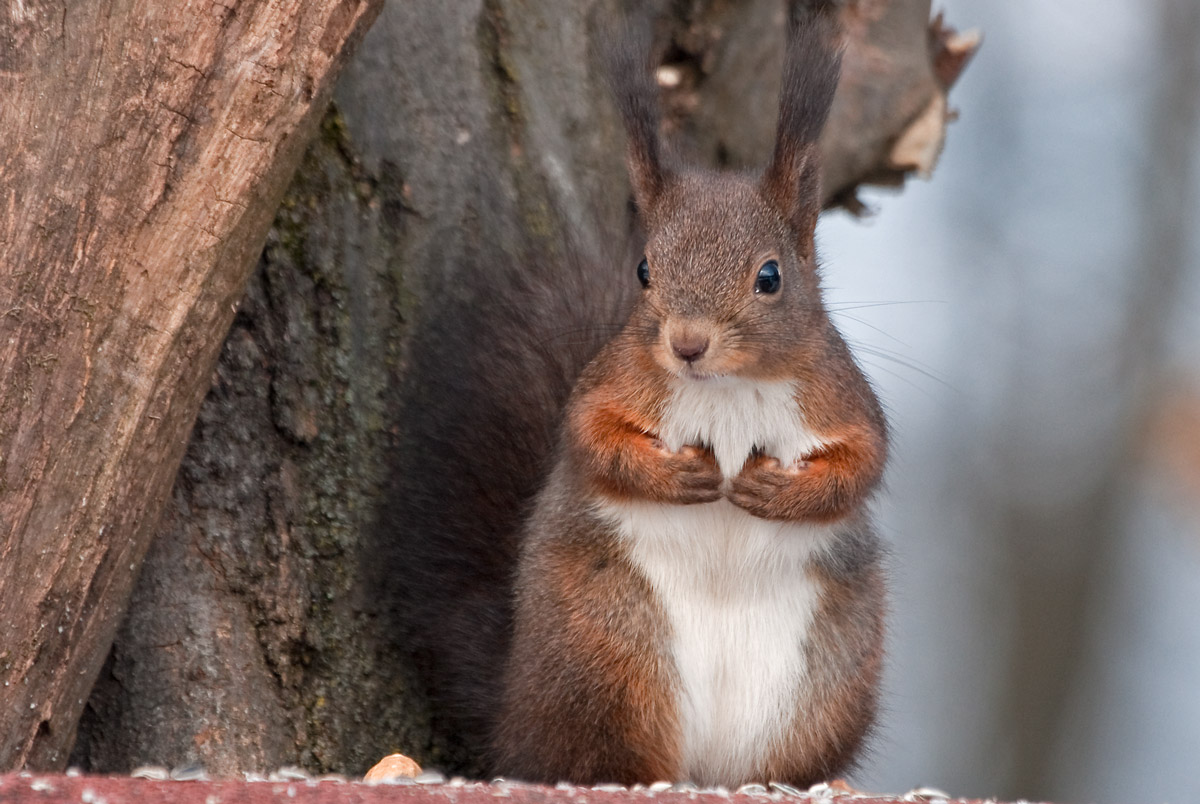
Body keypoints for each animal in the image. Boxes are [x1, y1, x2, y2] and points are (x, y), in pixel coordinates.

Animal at [489, 7, 889, 788]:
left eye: (770, 276)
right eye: (644, 269)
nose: (687, 344)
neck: (727, 391)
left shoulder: (839, 396)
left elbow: (863, 463)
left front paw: (776, 492)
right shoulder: (610, 381)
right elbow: (589, 435)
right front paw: (679, 475)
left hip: (822, 686)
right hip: (610, 656)